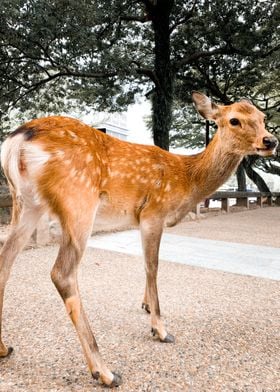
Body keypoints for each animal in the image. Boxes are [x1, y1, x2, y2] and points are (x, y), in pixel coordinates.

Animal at [0, 91, 276, 386]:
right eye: (234, 120)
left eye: (263, 117)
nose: (270, 141)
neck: (187, 179)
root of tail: (17, 140)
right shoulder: (154, 211)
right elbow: (153, 265)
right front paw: (160, 329)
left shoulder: (138, 219)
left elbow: (144, 263)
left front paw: (145, 305)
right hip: (77, 201)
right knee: (62, 273)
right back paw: (105, 371)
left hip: (26, 204)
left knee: (5, 262)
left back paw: (5, 348)